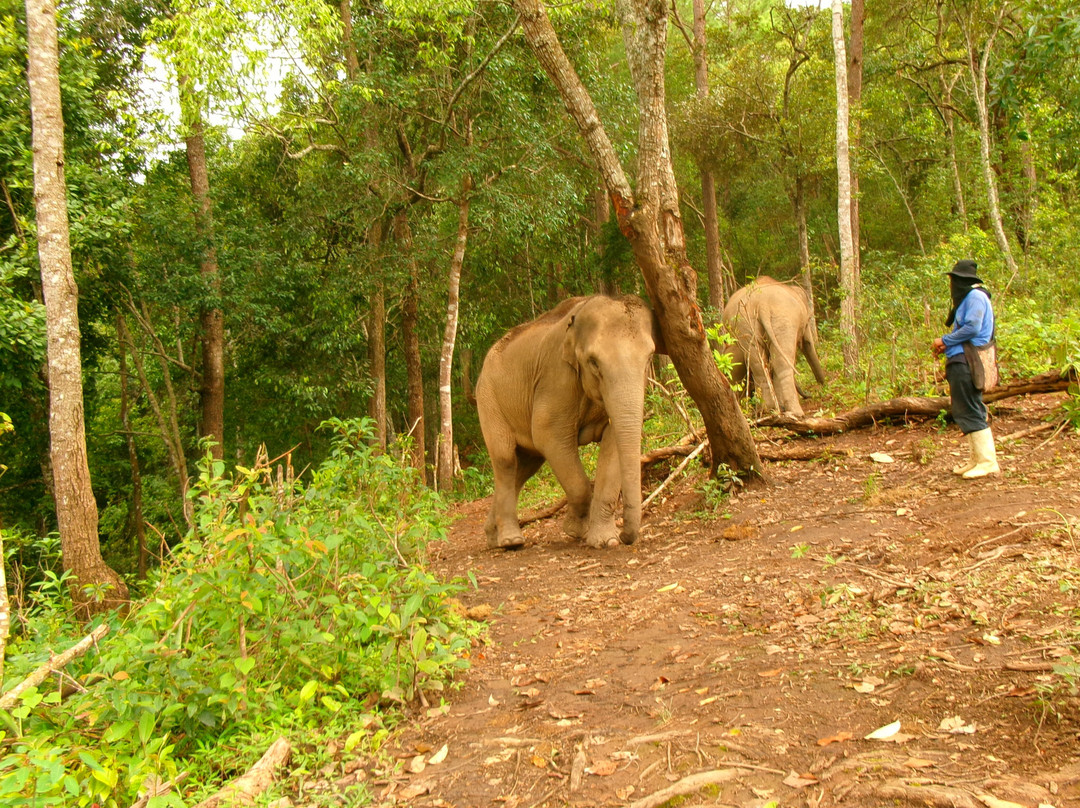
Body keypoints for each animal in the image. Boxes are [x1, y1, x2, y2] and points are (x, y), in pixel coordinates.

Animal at [475, 295, 664, 550]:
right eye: (593, 362)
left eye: (649, 358)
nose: (626, 537)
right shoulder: (556, 376)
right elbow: (547, 434)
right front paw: (575, 531)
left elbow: (613, 441)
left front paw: (605, 541)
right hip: (488, 402)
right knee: (505, 460)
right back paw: (511, 541)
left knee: (525, 467)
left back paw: (493, 539)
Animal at [721, 276, 826, 417]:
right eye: (808, 320)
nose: (822, 386)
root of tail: (762, 304)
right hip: (784, 321)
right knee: (781, 363)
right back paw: (796, 413)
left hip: (744, 325)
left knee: (759, 364)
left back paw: (767, 409)